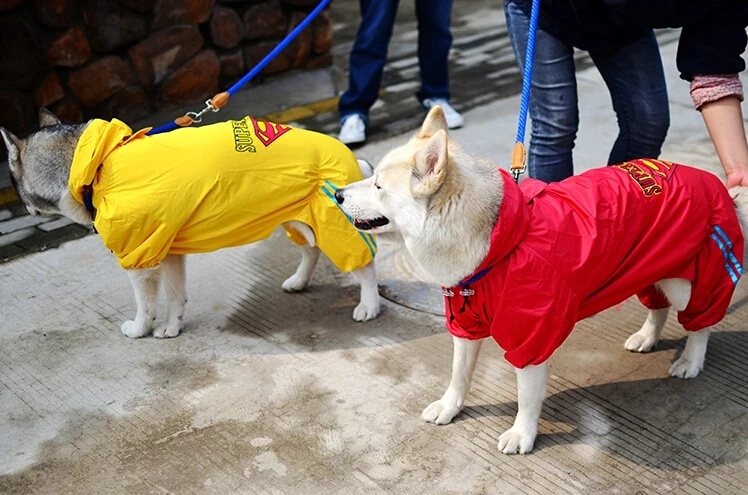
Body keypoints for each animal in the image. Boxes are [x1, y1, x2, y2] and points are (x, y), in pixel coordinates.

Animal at [1, 110, 380, 340]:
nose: (24, 207)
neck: (95, 168)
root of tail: (352, 156)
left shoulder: (139, 260)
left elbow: (146, 305)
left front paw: (139, 329)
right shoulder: (168, 251)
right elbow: (176, 296)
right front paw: (172, 327)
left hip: (334, 223)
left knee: (364, 267)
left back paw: (370, 305)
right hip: (300, 219)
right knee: (312, 251)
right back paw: (299, 281)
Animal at [336, 106, 748, 456]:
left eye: (378, 186)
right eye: (372, 176)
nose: (338, 193)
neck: (496, 247)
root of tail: (715, 183)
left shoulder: (531, 336)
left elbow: (527, 396)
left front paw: (523, 433)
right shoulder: (465, 323)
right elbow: (458, 375)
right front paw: (450, 407)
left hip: (689, 282)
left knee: (699, 324)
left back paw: (691, 360)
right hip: (648, 269)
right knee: (658, 308)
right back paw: (647, 337)